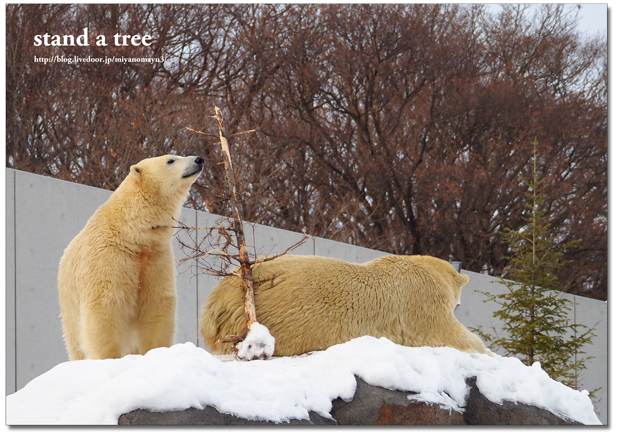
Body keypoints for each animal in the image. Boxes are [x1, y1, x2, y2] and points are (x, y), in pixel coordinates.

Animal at [58, 155, 203, 360]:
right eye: (171, 160)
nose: (199, 159)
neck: (130, 232)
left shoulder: (155, 256)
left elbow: (156, 302)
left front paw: (156, 351)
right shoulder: (109, 255)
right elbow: (105, 303)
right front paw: (109, 357)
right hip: (69, 303)